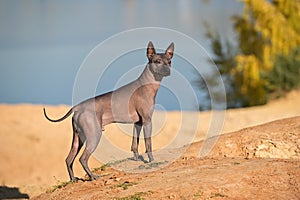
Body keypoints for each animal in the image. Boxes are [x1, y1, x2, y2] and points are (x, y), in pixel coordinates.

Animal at [43, 41, 175, 182]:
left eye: (169, 61)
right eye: (158, 61)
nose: (168, 70)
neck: (146, 84)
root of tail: (78, 107)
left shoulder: (138, 123)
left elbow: (135, 143)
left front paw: (136, 157)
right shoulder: (147, 121)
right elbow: (148, 143)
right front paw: (151, 159)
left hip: (78, 139)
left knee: (69, 159)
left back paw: (73, 179)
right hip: (94, 135)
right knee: (82, 159)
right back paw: (93, 176)